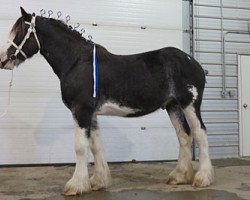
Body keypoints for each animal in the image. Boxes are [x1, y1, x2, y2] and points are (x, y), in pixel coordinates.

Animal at [0, 7, 215, 195]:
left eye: (20, 32)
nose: (3, 60)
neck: (76, 62)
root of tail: (194, 62)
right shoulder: (91, 114)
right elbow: (96, 145)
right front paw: (98, 182)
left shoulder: (81, 111)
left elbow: (80, 147)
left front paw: (76, 185)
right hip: (172, 106)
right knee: (184, 135)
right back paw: (179, 176)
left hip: (190, 104)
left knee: (200, 133)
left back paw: (202, 178)